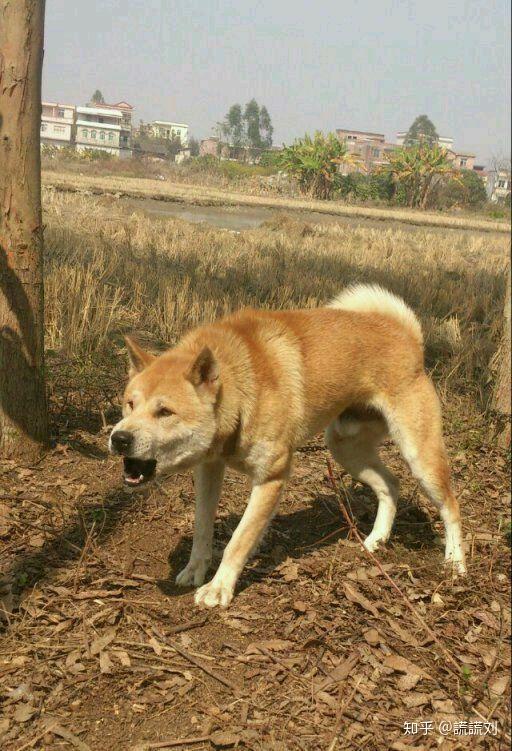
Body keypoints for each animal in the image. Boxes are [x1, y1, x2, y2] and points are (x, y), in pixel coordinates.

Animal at [110, 284, 466, 608]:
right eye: (129, 404)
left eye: (165, 411)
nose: (119, 438)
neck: (241, 388)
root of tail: (406, 335)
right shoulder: (209, 469)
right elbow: (201, 528)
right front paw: (196, 569)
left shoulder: (272, 478)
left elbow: (239, 540)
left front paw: (219, 588)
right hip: (345, 448)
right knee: (390, 485)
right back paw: (376, 540)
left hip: (420, 457)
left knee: (450, 505)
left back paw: (455, 564)